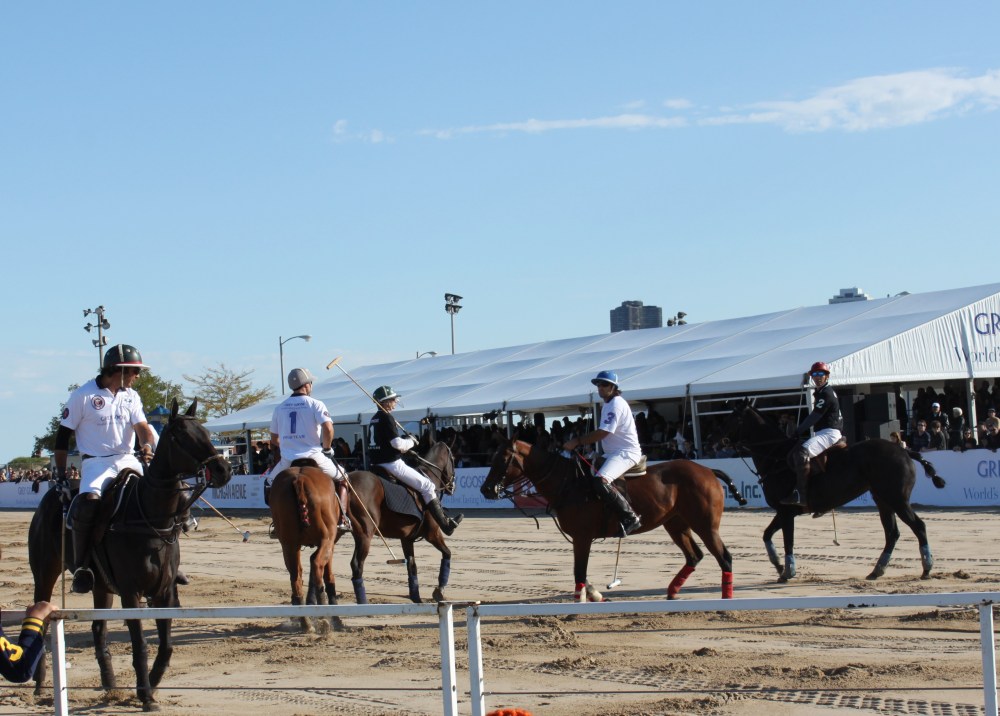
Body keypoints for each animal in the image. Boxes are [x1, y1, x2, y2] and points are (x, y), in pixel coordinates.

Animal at [28, 399, 232, 712]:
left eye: (207, 433)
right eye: (181, 436)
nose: (223, 469)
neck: (149, 516)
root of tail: (51, 496)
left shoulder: (165, 592)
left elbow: (167, 644)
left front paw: (152, 682)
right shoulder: (131, 592)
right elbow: (140, 644)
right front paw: (145, 694)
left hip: (101, 586)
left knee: (98, 629)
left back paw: (110, 684)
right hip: (45, 571)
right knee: (41, 610)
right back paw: (40, 684)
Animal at [267, 460, 347, 633]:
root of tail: (300, 480)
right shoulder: (331, 542)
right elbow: (329, 576)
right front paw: (337, 619)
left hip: (289, 545)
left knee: (296, 577)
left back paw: (306, 622)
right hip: (327, 538)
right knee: (316, 565)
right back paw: (324, 616)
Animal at [346, 439, 457, 604]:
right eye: (453, 459)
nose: (452, 487)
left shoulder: (407, 539)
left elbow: (412, 566)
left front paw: (416, 597)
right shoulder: (432, 533)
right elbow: (447, 553)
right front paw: (440, 591)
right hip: (365, 534)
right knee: (357, 565)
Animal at [480, 437, 745, 602]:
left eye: (502, 459)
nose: (486, 490)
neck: (568, 483)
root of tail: (708, 470)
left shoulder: (583, 536)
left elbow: (579, 573)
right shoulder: (580, 538)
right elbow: (581, 572)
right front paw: (596, 594)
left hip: (705, 524)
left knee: (724, 557)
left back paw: (726, 601)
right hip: (676, 523)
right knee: (694, 556)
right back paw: (672, 592)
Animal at [722, 398, 946, 582]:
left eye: (733, 417)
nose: (719, 438)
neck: (776, 456)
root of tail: (904, 450)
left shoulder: (786, 512)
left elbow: (788, 541)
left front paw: (787, 572)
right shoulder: (784, 512)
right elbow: (766, 535)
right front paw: (778, 566)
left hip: (897, 498)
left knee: (918, 527)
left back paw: (926, 568)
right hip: (882, 499)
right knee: (892, 533)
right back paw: (876, 571)